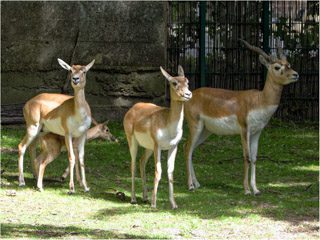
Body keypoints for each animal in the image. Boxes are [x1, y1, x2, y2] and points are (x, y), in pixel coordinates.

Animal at [17, 57, 95, 193]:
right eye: (71, 70)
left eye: (84, 71)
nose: (75, 79)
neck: (78, 112)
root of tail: (29, 102)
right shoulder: (68, 134)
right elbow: (71, 157)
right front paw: (71, 188)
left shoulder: (82, 135)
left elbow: (81, 159)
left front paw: (85, 187)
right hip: (32, 128)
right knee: (22, 147)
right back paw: (22, 182)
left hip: (41, 131)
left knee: (32, 148)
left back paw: (36, 178)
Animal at [124, 65, 191, 208]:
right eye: (174, 83)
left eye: (187, 81)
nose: (188, 94)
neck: (168, 124)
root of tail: (133, 108)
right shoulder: (158, 146)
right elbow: (158, 171)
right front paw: (154, 203)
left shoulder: (173, 147)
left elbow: (170, 173)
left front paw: (173, 204)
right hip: (132, 142)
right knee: (133, 165)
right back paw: (133, 199)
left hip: (148, 148)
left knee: (141, 162)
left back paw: (145, 197)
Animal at [184, 39, 298, 195]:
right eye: (277, 67)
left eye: (289, 64)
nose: (295, 74)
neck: (259, 100)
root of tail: (191, 96)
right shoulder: (245, 129)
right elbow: (247, 157)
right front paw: (247, 190)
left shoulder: (257, 132)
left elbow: (255, 158)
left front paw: (256, 189)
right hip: (195, 126)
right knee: (187, 149)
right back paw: (190, 185)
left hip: (205, 131)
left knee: (191, 151)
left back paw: (197, 183)